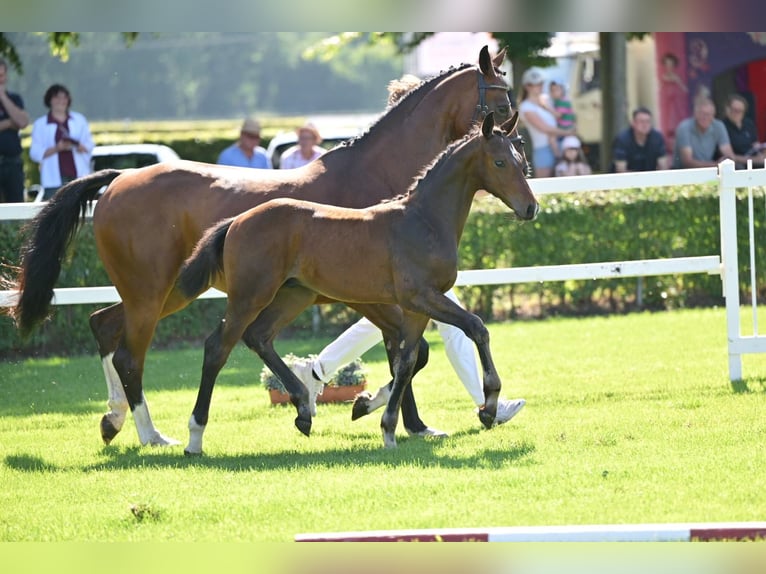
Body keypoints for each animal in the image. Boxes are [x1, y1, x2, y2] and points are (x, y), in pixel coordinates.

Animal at [176, 111, 537, 452]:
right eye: (500, 162)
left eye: (522, 161)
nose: (531, 207)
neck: (424, 220)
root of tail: (237, 221)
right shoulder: (421, 297)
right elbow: (476, 327)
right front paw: (489, 406)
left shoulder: (417, 307)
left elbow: (407, 360)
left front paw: (384, 423)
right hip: (249, 296)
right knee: (218, 347)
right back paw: (195, 437)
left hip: (294, 296)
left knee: (259, 337)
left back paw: (303, 409)